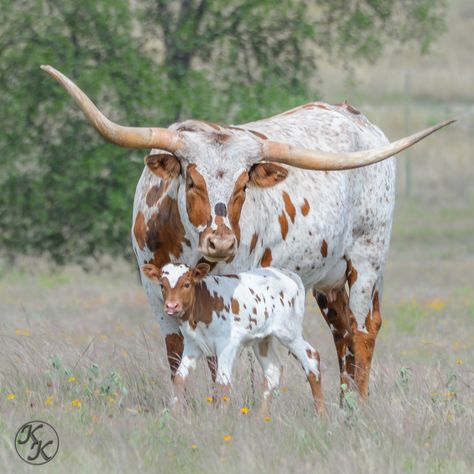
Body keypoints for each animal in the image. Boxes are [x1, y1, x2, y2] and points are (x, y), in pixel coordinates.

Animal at [142, 262, 326, 412]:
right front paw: (177, 416)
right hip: (262, 339)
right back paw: (260, 419)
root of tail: (286, 273)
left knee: (311, 357)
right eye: (162, 285)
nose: (171, 306)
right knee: (272, 369)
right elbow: (179, 378)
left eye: (186, 284)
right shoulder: (192, 345)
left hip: (288, 331)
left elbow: (222, 382)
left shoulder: (227, 344)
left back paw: (321, 415)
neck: (204, 302)